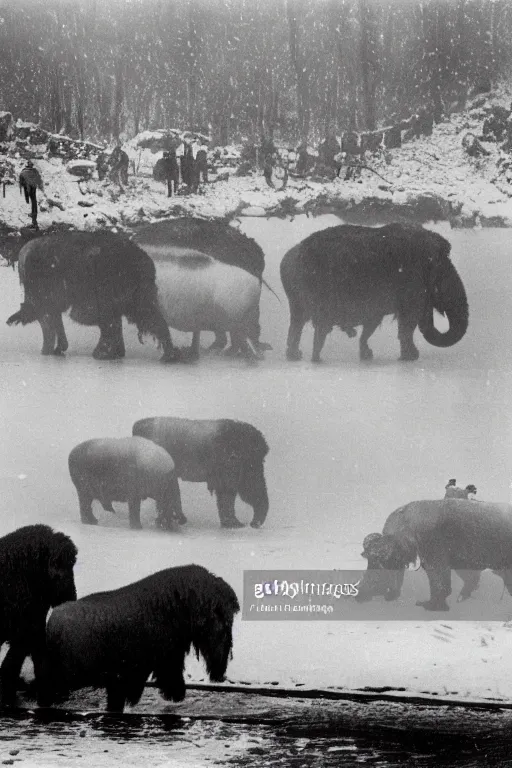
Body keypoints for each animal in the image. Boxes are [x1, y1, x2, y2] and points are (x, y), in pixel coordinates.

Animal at [132, 416, 270, 532]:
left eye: (262, 459)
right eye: (255, 460)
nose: (253, 524)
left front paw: (232, 524)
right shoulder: (228, 462)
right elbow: (228, 492)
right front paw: (235, 525)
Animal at [280, 222, 468, 364]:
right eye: (442, 273)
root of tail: (289, 257)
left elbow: (373, 325)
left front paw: (367, 355)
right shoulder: (410, 285)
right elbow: (407, 324)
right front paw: (411, 357)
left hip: (297, 298)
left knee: (297, 323)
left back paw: (295, 356)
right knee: (319, 327)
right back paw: (315, 359)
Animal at [358, 498, 512, 612]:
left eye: (379, 560)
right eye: (369, 559)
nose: (360, 594)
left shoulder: (436, 561)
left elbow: (440, 585)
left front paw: (432, 606)